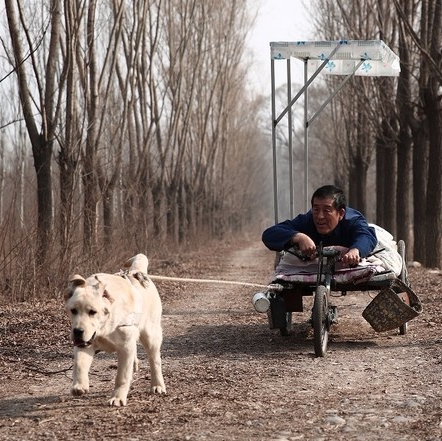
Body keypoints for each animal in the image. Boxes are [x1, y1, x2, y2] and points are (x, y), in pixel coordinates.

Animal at [63, 253, 164, 404]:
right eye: (73, 310)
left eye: (93, 312)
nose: (78, 331)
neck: (104, 328)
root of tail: (136, 272)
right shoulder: (85, 344)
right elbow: (80, 364)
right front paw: (79, 386)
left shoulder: (125, 348)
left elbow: (121, 376)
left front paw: (117, 398)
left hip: (150, 336)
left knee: (154, 360)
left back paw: (158, 385)